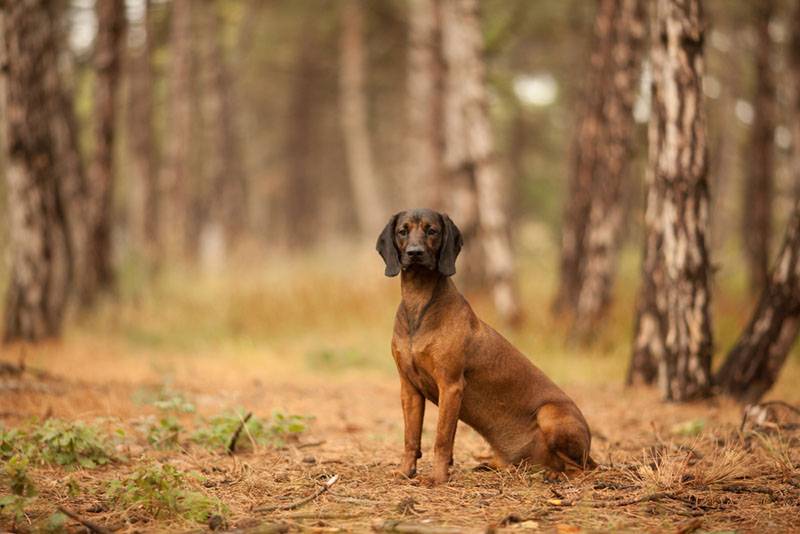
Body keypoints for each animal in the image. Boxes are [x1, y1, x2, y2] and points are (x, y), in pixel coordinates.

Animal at [378, 209, 596, 486]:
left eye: (432, 231)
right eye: (402, 231)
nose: (415, 253)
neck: (419, 303)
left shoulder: (451, 386)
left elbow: (442, 439)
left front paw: (437, 478)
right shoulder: (409, 388)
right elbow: (410, 438)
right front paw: (405, 472)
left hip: (550, 414)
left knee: (583, 468)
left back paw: (555, 474)